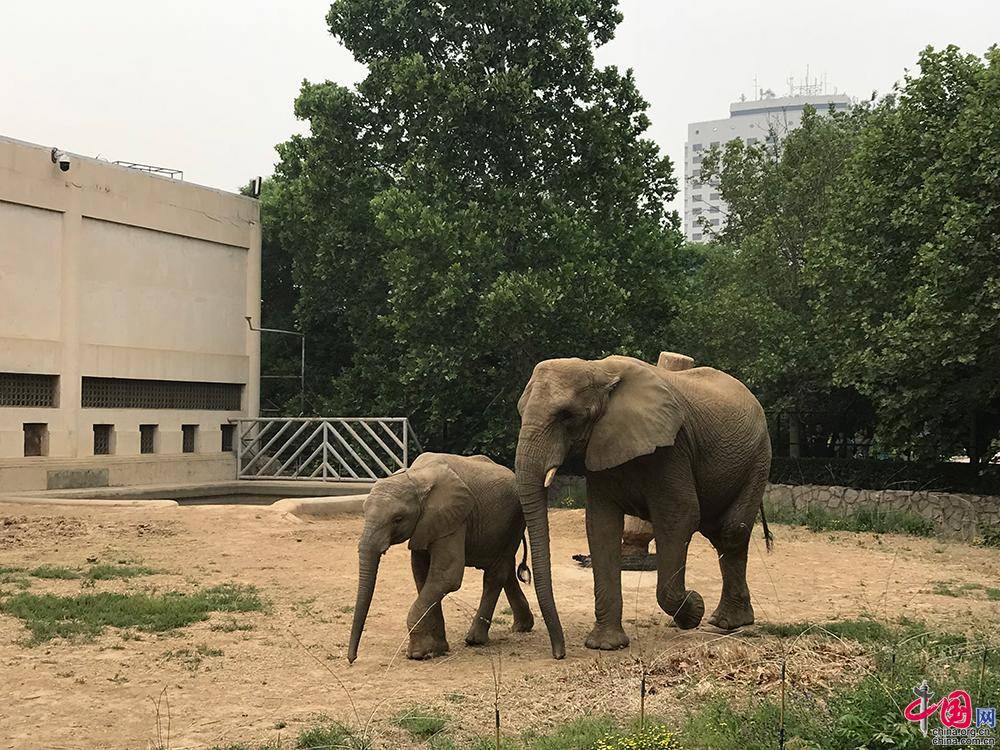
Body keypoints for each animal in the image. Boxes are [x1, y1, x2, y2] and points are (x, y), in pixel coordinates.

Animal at [348, 452, 536, 664]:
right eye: (363, 512)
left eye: (398, 519)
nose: (352, 659)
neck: (415, 477)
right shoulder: (425, 525)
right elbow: (423, 576)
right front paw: (436, 650)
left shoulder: (453, 519)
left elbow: (446, 577)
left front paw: (417, 654)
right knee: (506, 570)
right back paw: (521, 627)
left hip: (514, 519)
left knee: (495, 574)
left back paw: (475, 640)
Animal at [516, 356, 772, 660]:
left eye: (566, 415)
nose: (560, 653)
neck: (599, 369)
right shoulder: (601, 446)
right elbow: (600, 525)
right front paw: (605, 645)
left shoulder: (672, 449)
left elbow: (679, 516)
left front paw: (693, 608)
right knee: (720, 533)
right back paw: (727, 621)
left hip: (759, 459)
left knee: (731, 531)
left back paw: (725, 623)